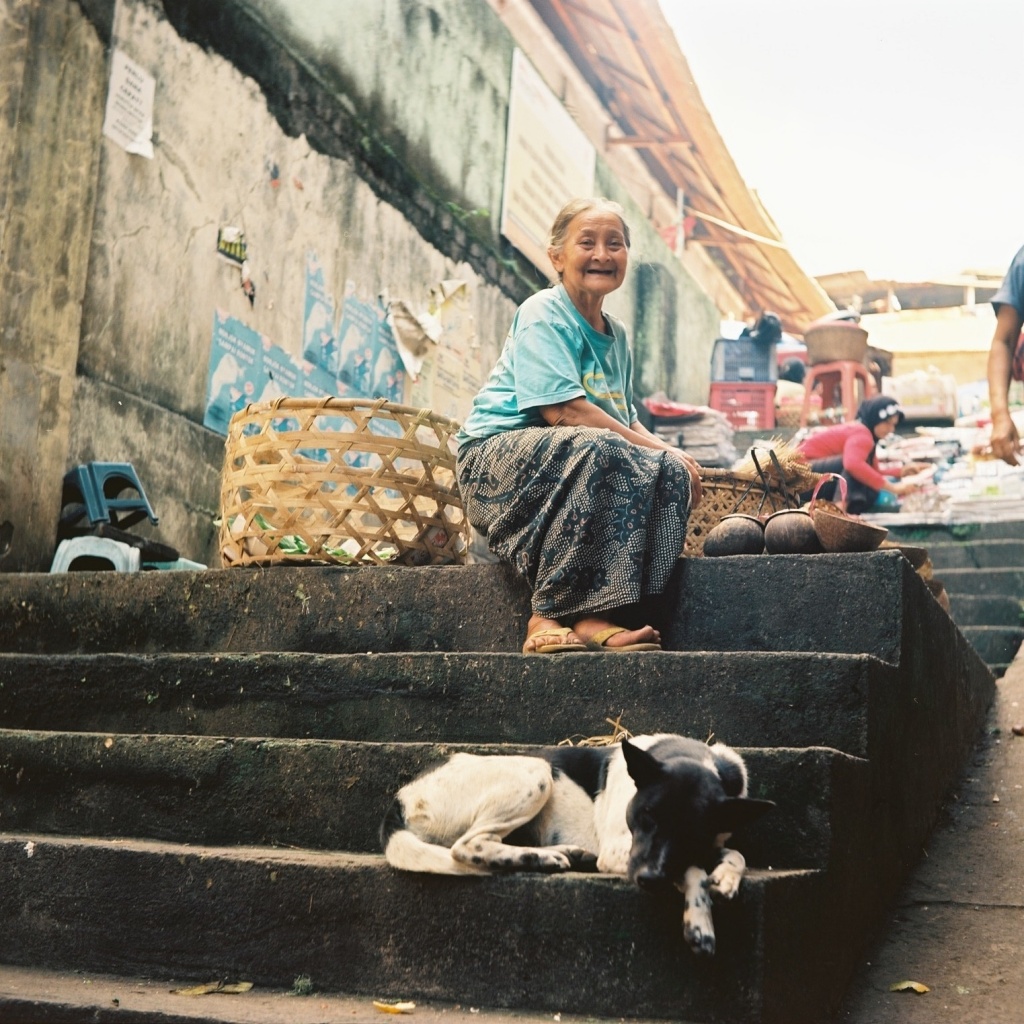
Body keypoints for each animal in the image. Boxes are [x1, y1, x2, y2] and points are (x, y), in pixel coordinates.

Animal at [380, 733, 770, 954]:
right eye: (646, 815)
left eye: (692, 830)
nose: (648, 879)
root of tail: (400, 798)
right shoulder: (620, 851)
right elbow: (690, 868)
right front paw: (700, 921)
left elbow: (732, 853)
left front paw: (726, 877)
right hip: (535, 771)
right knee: (467, 846)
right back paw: (541, 859)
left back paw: (560, 853)